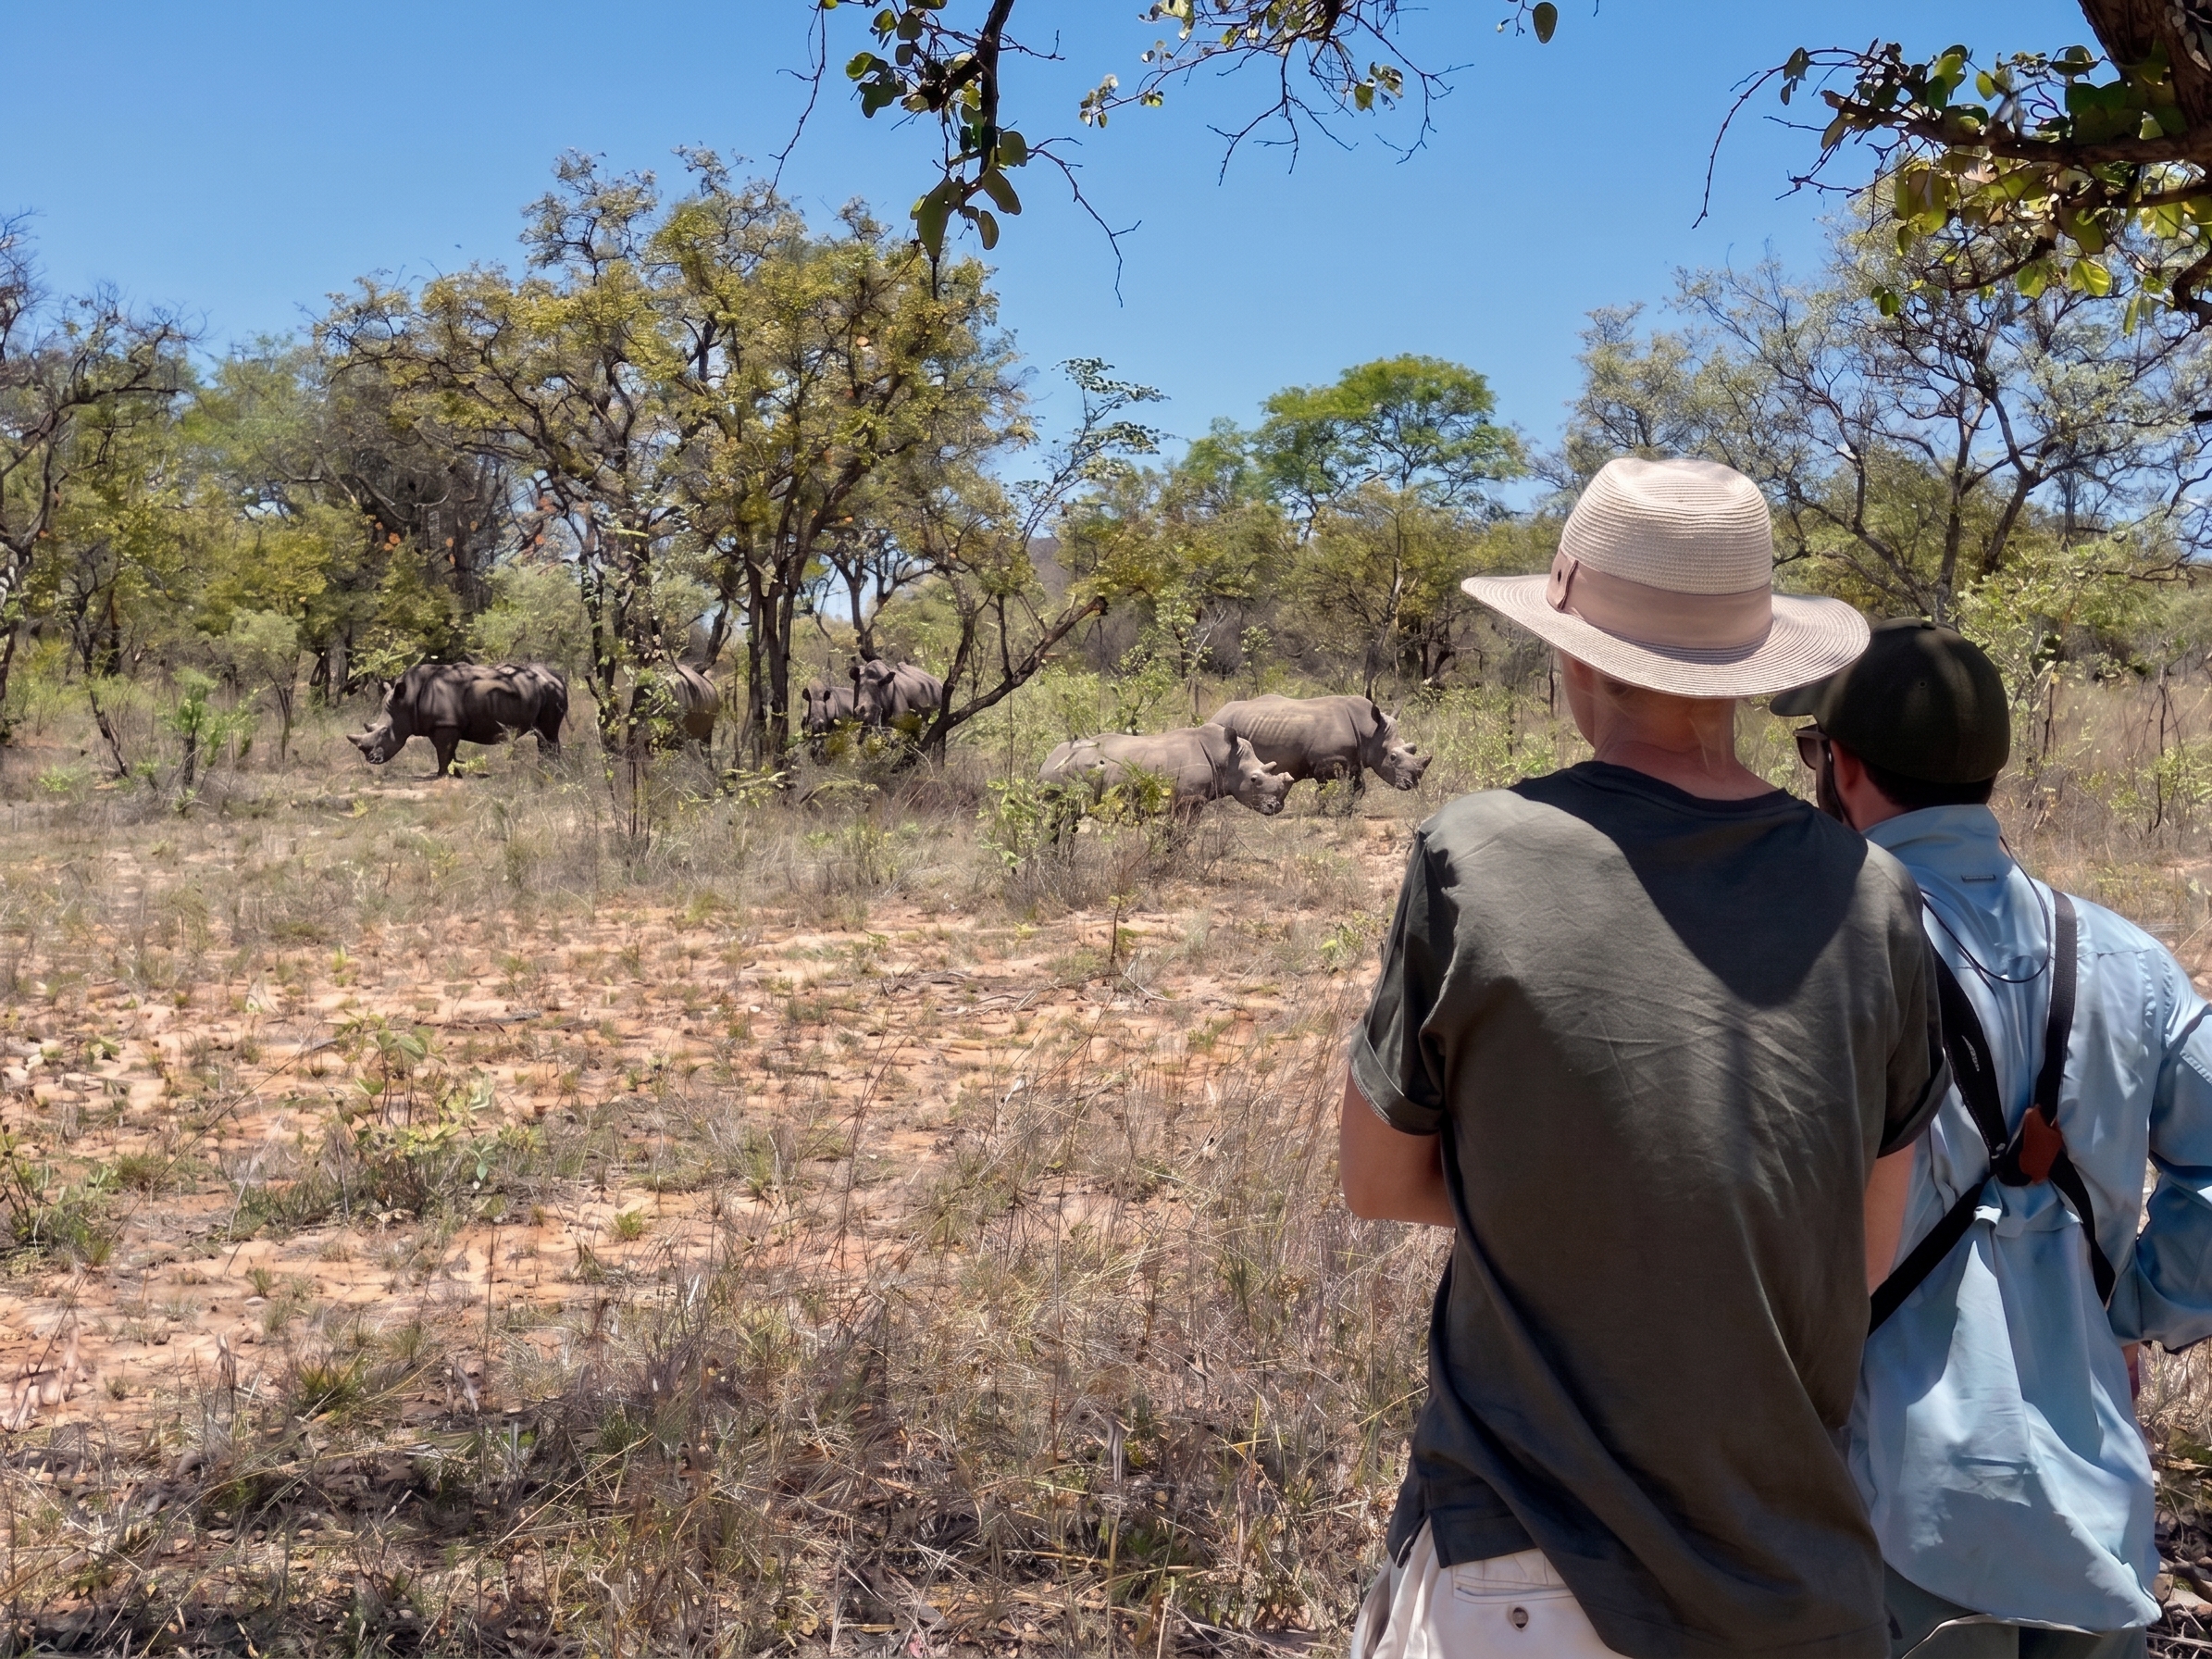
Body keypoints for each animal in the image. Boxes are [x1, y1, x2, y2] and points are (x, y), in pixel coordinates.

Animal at [348, 662, 567, 778]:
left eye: (385, 732)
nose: (371, 759)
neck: (407, 701)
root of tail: (559, 677)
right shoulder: (441, 725)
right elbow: (447, 751)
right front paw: (455, 774)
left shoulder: (446, 724)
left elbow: (443, 752)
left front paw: (441, 776)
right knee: (544, 736)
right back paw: (548, 770)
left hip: (550, 692)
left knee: (548, 734)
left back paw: (551, 771)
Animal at [1039, 724, 1291, 816]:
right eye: (1254, 779)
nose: (1276, 807)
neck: (1227, 756)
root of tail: (1046, 761)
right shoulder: (1190, 800)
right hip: (1058, 774)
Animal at [1208, 694, 1429, 795]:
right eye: (1393, 757)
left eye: (1413, 748)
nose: (1412, 783)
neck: (1370, 730)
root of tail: (1217, 713)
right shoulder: (1326, 762)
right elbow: (1324, 790)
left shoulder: (1354, 759)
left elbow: (1358, 788)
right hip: (1223, 726)